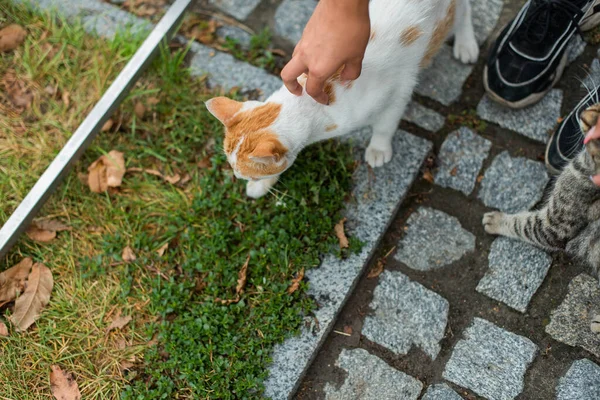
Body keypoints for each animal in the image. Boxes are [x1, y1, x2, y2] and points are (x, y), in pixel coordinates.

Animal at [206, 0, 478, 198]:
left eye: (249, 174)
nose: (237, 176)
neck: (310, 102)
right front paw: (262, 186)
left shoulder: (398, 91)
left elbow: (385, 125)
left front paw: (378, 148)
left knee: (464, 10)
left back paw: (466, 43)